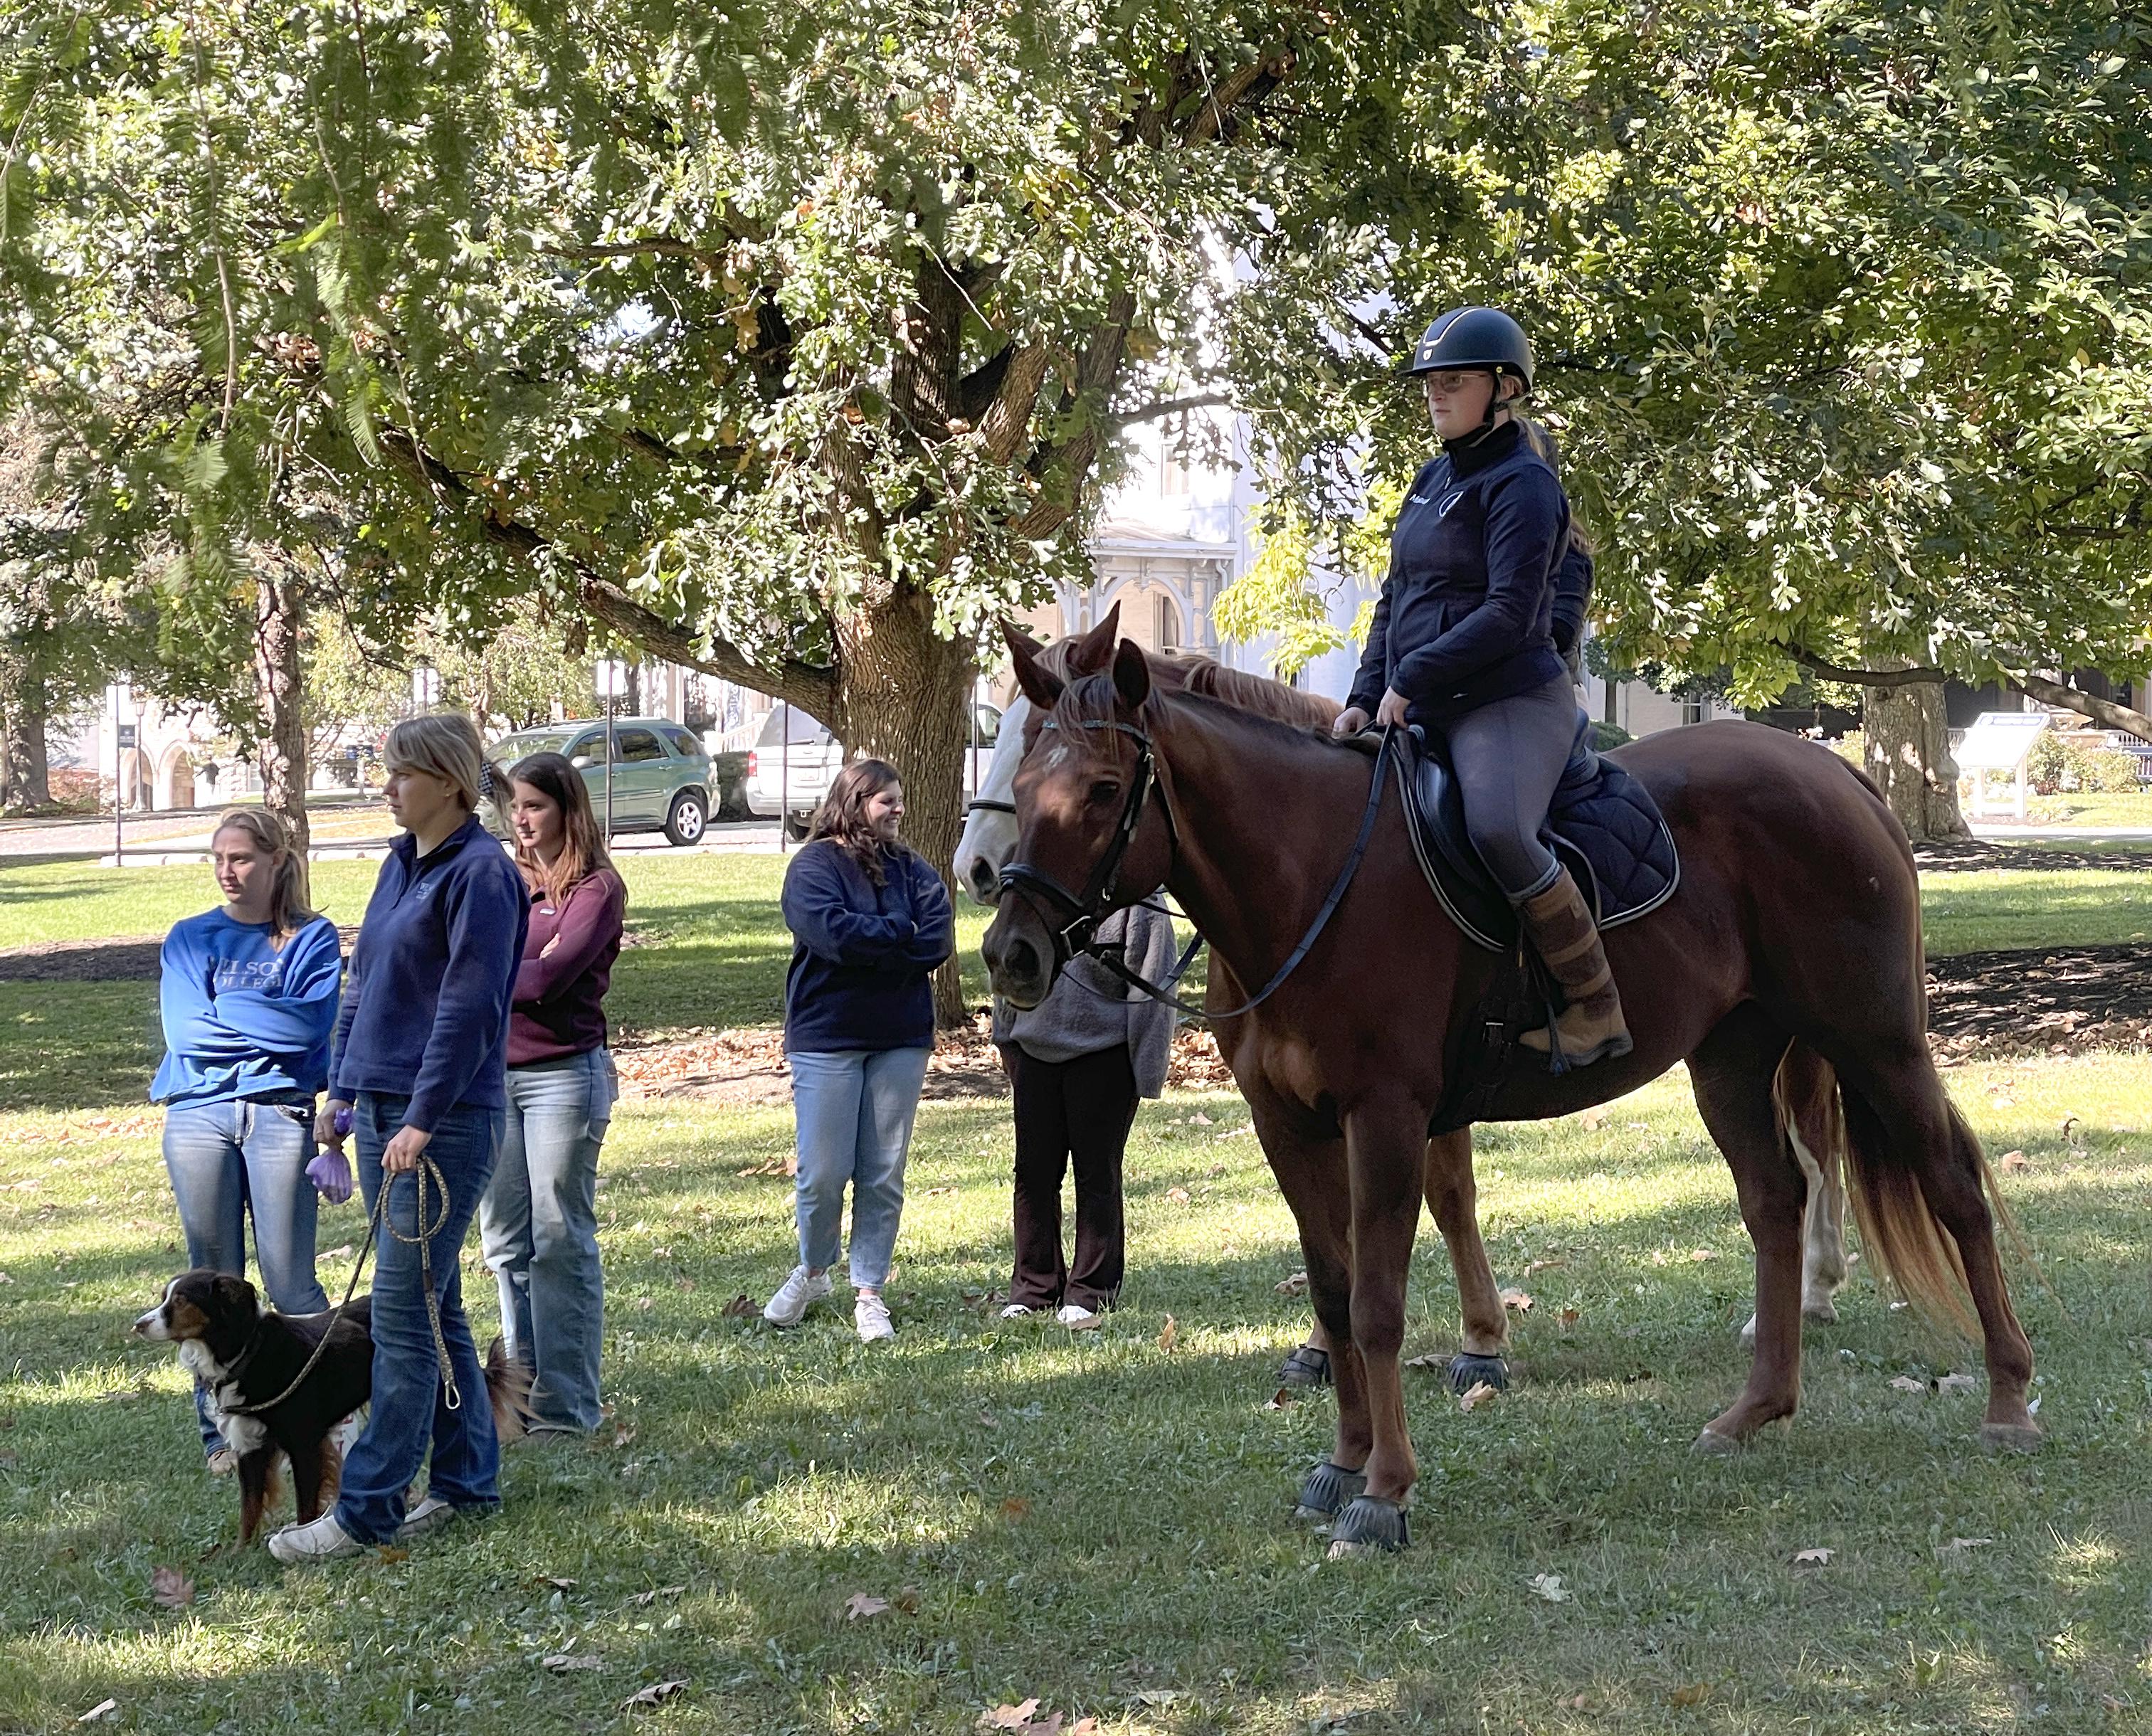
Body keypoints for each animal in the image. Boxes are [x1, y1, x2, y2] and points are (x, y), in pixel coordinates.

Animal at [982, 631, 2036, 1554]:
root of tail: (1838, 773)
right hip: (1734, 1058)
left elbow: (1379, 1303)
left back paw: (2007, 1400)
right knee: (1775, 1200)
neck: (1313, 874)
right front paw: (1343, 1462)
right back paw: (1753, 1410)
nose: (1010, 949)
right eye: (1027, 783)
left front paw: (1386, 1492)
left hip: (1874, 1039)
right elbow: (1332, 1292)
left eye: (1104, 789)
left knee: (1951, 1187)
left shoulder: (1388, 1115)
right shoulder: (1289, 1127)